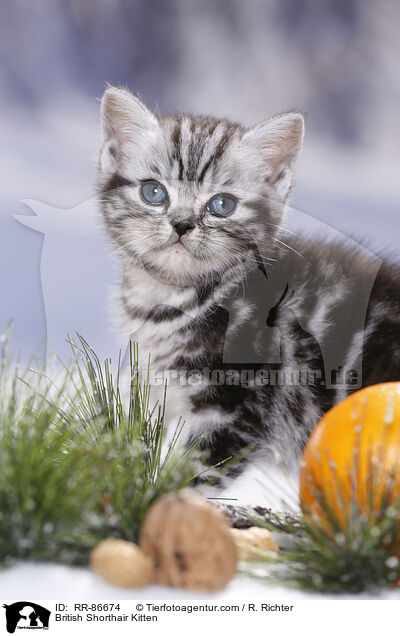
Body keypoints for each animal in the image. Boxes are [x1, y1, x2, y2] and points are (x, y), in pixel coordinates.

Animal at [97, 85, 400, 502]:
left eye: (222, 205)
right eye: (153, 192)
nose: (182, 225)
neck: (176, 299)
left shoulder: (238, 411)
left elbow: (194, 474)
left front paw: (160, 501)